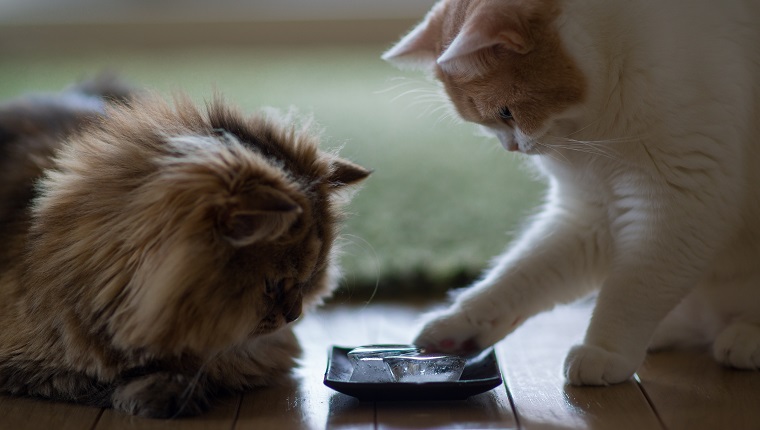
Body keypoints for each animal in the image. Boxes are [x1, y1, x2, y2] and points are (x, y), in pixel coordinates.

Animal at [0, 77, 370, 416]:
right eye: (273, 286)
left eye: (309, 283)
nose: (294, 315)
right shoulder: (26, 365)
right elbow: (88, 379)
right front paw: (160, 391)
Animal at [382, 0, 760, 384]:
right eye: (486, 123)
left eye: (505, 112)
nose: (510, 148)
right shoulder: (588, 217)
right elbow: (517, 278)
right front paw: (457, 326)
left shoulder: (675, 206)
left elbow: (631, 289)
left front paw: (603, 351)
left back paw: (744, 339)